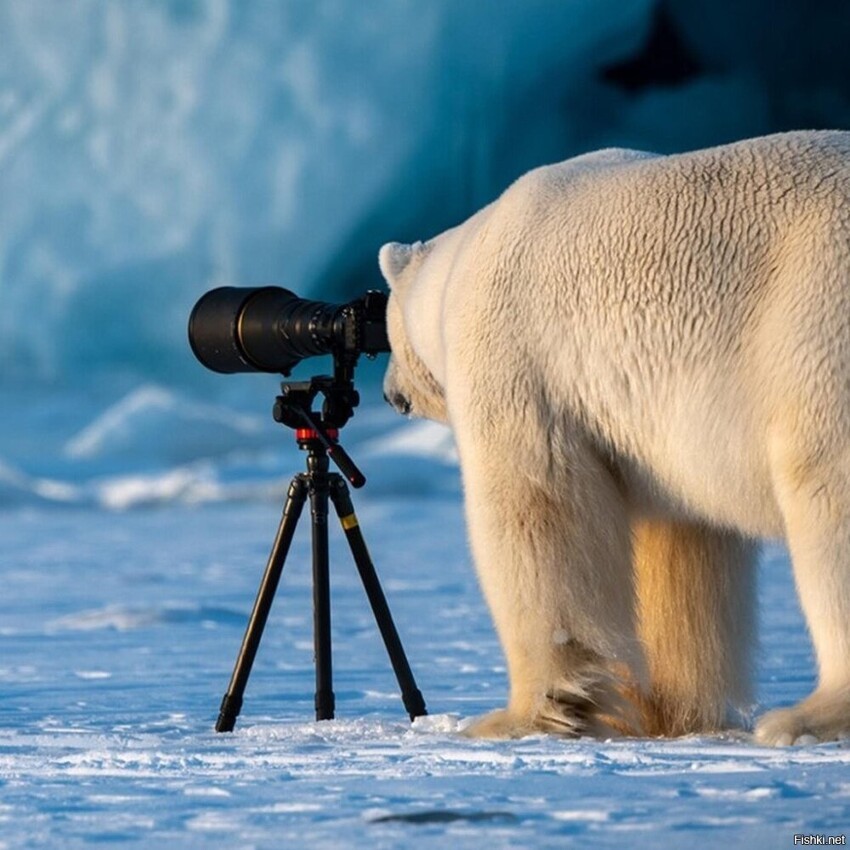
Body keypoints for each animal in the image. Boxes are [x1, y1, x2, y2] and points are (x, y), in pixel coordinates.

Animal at [380, 127, 848, 744]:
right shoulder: (659, 427)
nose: (390, 393)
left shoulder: (518, 359)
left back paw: (804, 718)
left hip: (814, 319)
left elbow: (537, 510)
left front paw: (525, 717)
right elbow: (682, 548)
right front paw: (667, 714)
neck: (461, 264)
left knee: (823, 488)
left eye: (383, 328)